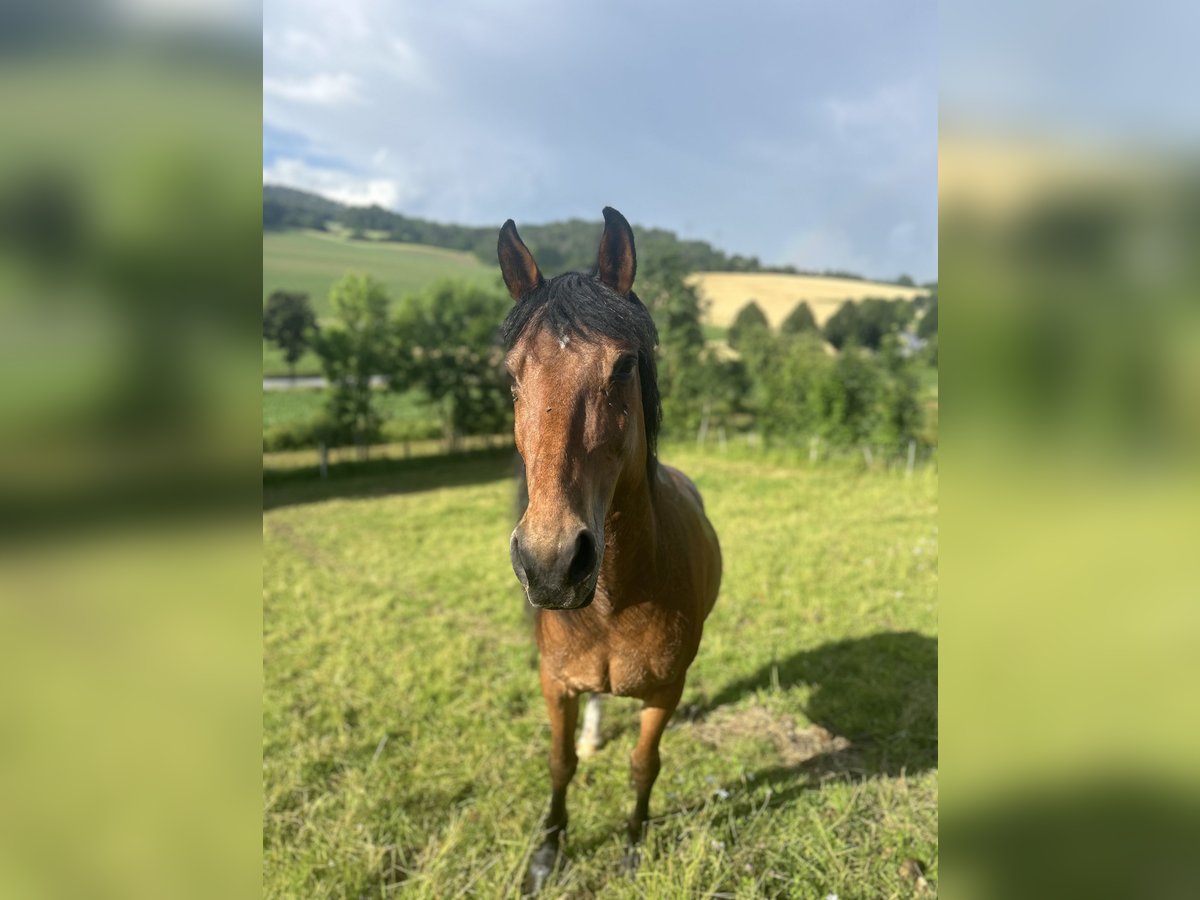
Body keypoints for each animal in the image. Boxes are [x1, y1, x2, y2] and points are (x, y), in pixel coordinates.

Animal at [496, 210, 720, 897]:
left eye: (622, 367)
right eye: (511, 375)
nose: (550, 561)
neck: (619, 597)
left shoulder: (666, 691)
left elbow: (645, 765)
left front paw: (631, 849)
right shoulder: (555, 684)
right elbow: (560, 762)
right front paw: (546, 855)